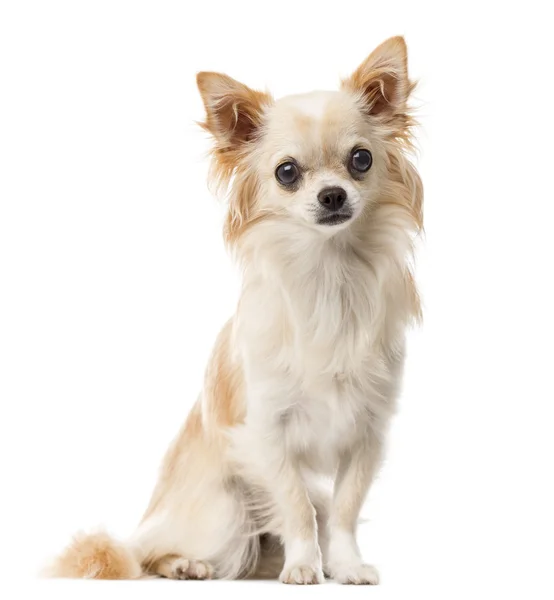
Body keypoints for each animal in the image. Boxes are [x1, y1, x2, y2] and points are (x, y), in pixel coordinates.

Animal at [49, 35, 420, 584]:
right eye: (287, 173)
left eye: (361, 160)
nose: (333, 195)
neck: (329, 276)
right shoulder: (267, 433)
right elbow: (296, 506)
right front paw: (304, 566)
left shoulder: (367, 433)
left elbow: (344, 509)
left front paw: (345, 565)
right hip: (223, 509)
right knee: (146, 553)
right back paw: (185, 564)